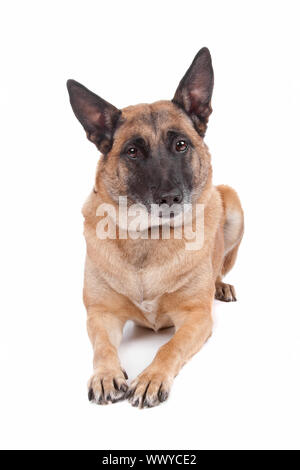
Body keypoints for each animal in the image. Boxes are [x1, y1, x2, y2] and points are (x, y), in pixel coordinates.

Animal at [66, 47, 244, 408]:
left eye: (181, 145)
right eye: (133, 151)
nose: (170, 197)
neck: (149, 238)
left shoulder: (197, 317)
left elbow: (168, 346)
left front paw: (151, 378)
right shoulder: (100, 314)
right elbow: (102, 347)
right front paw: (106, 374)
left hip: (231, 201)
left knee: (220, 268)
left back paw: (220, 286)